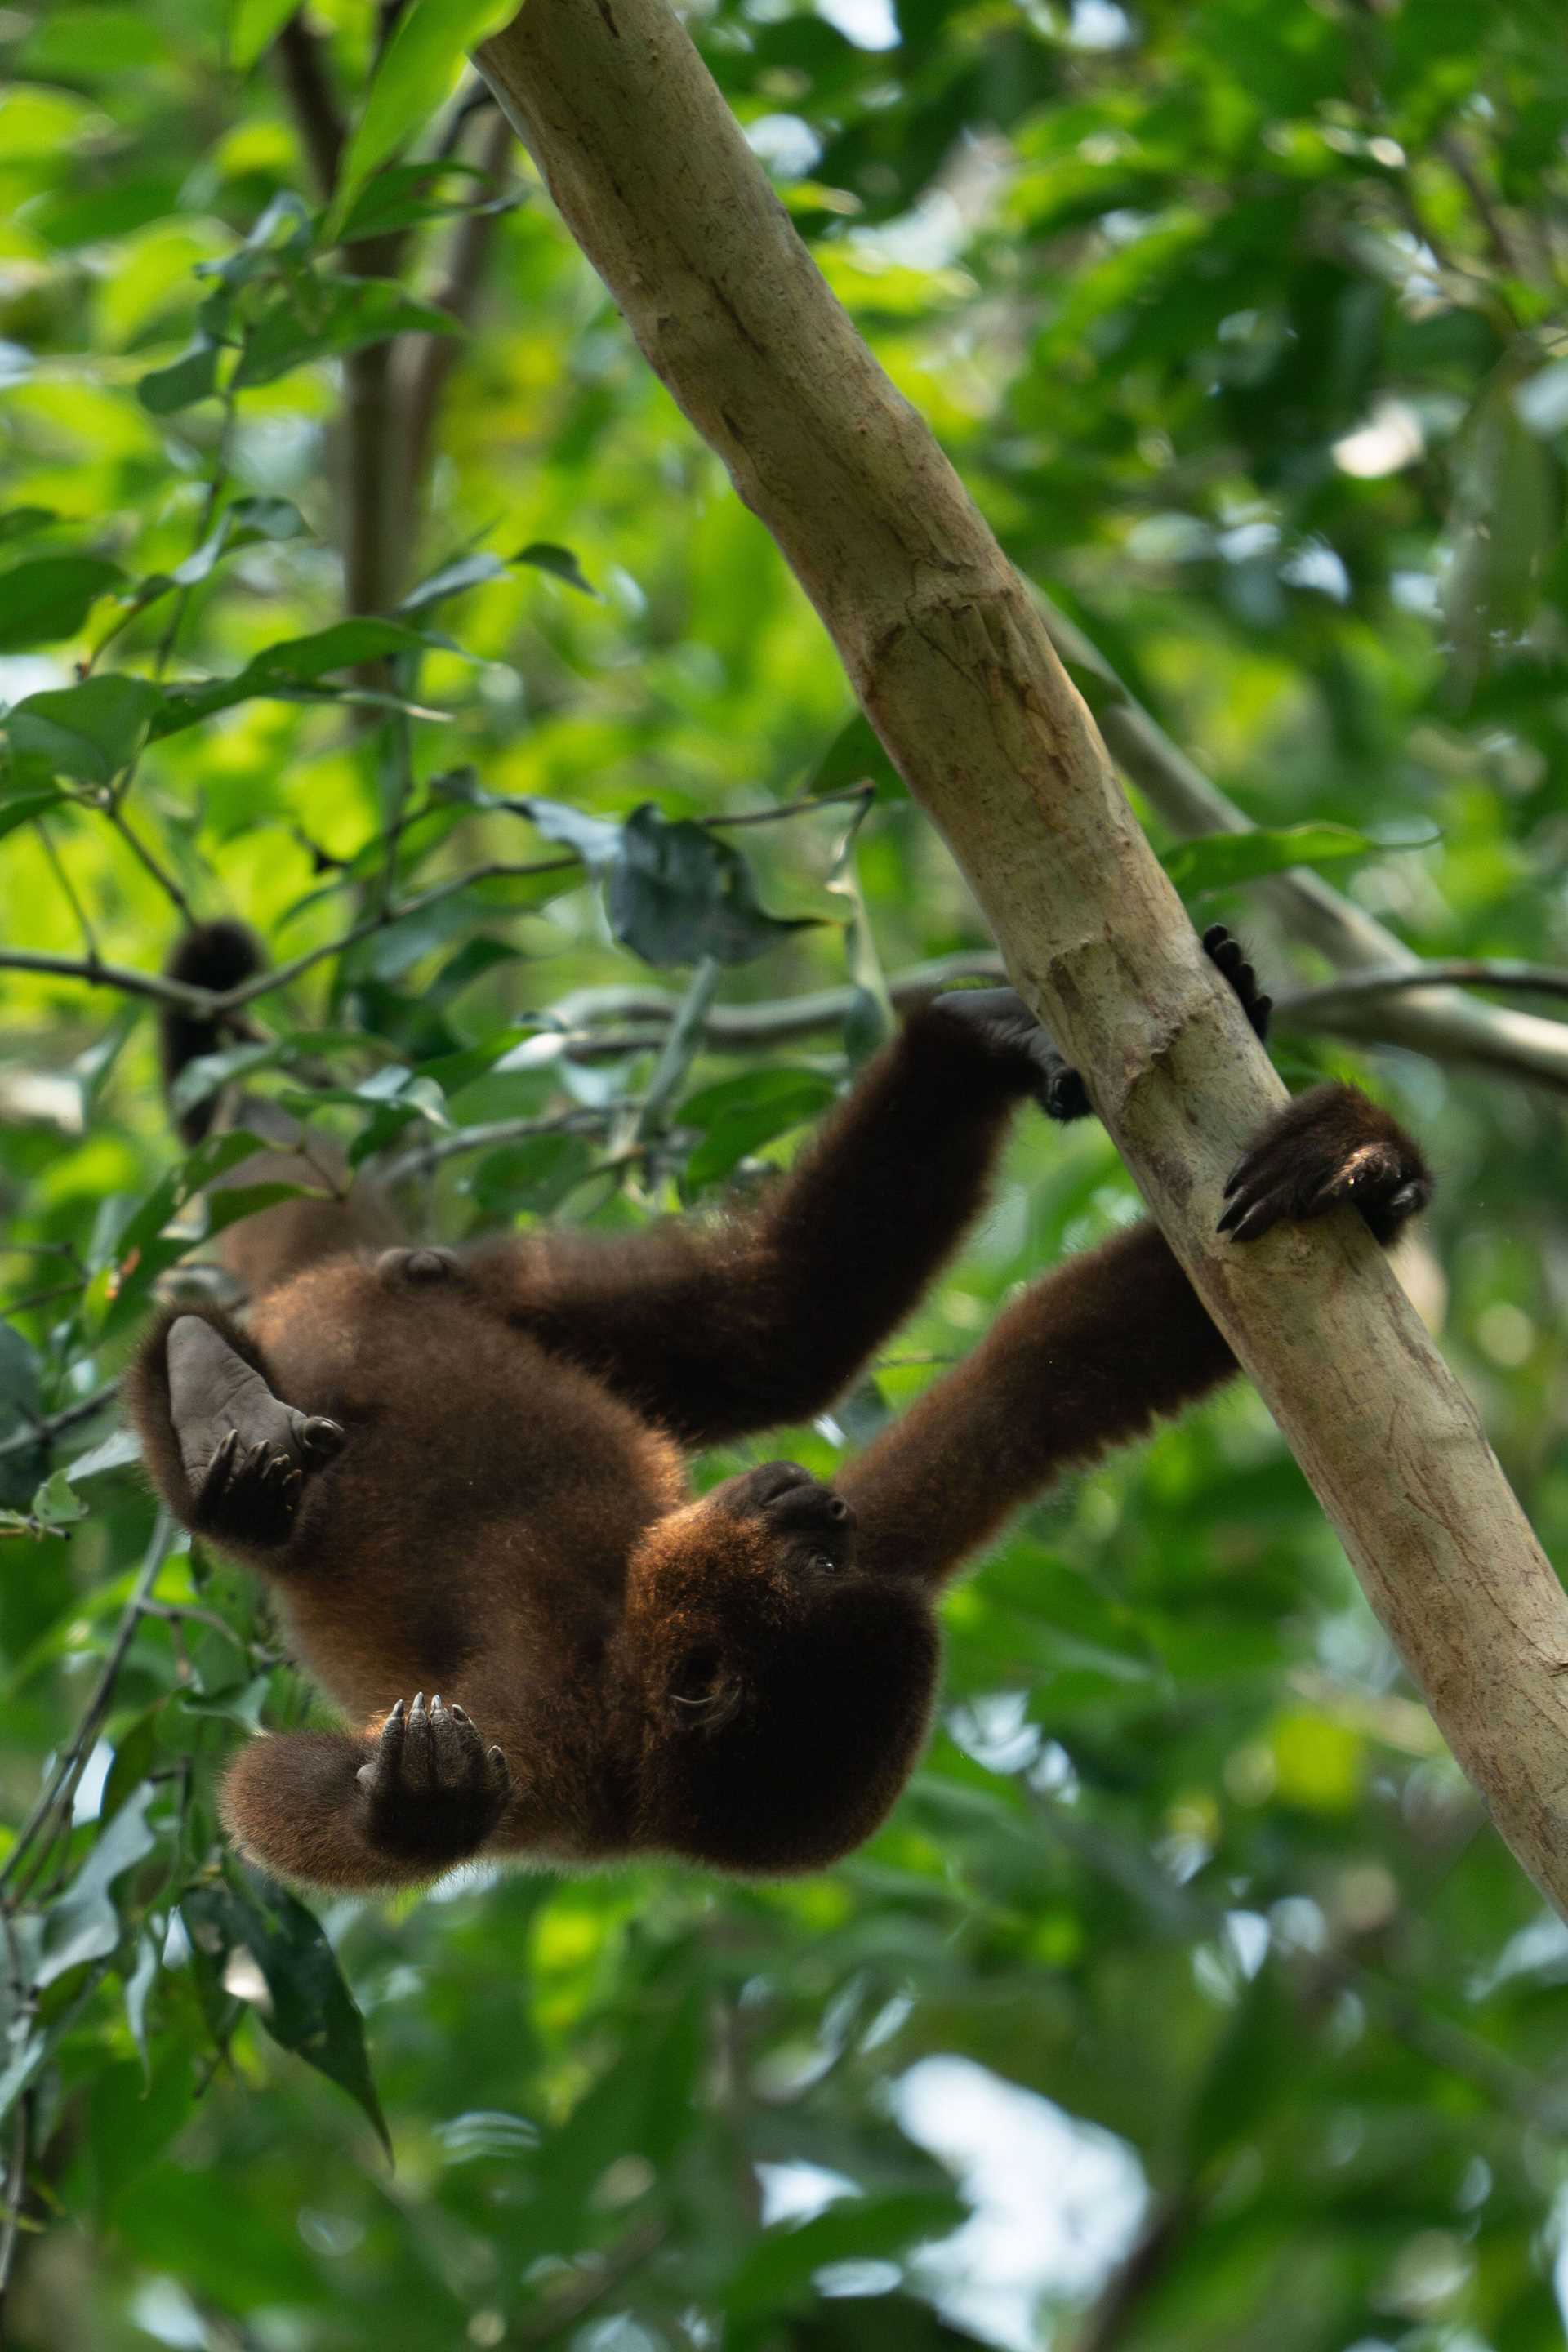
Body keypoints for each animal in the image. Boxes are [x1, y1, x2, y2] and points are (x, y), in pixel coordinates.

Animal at [126, 917, 1438, 1891]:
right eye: (808, 1568)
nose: (805, 1509)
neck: (616, 1643)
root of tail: (323, 1290)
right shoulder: (560, 1725)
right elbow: (275, 1796)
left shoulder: (572, 1745)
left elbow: (1042, 1383)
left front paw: (1356, 1165)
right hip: (493, 1292)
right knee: (767, 1334)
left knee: (774, 1325)